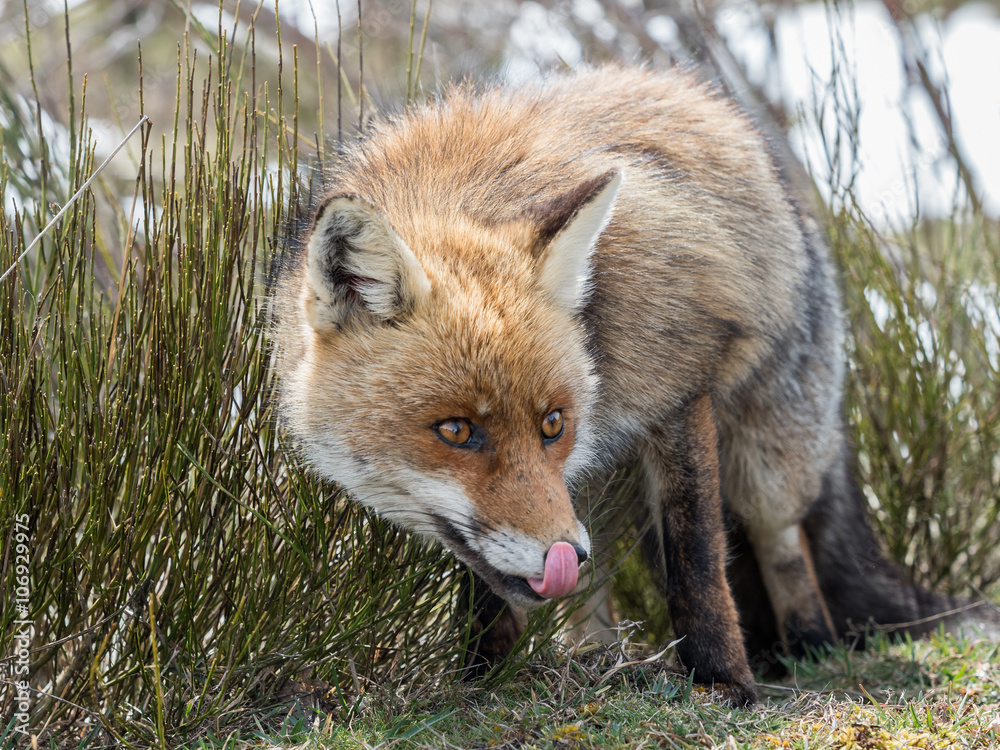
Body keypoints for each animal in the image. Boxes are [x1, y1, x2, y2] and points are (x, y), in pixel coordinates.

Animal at [271, 65, 999, 706]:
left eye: (552, 423)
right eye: (456, 431)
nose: (563, 553)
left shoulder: (678, 387)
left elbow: (696, 559)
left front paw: (722, 683)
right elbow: (489, 589)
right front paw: (478, 680)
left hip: (766, 459)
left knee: (784, 545)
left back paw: (807, 648)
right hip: (594, 492)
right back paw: (593, 657)